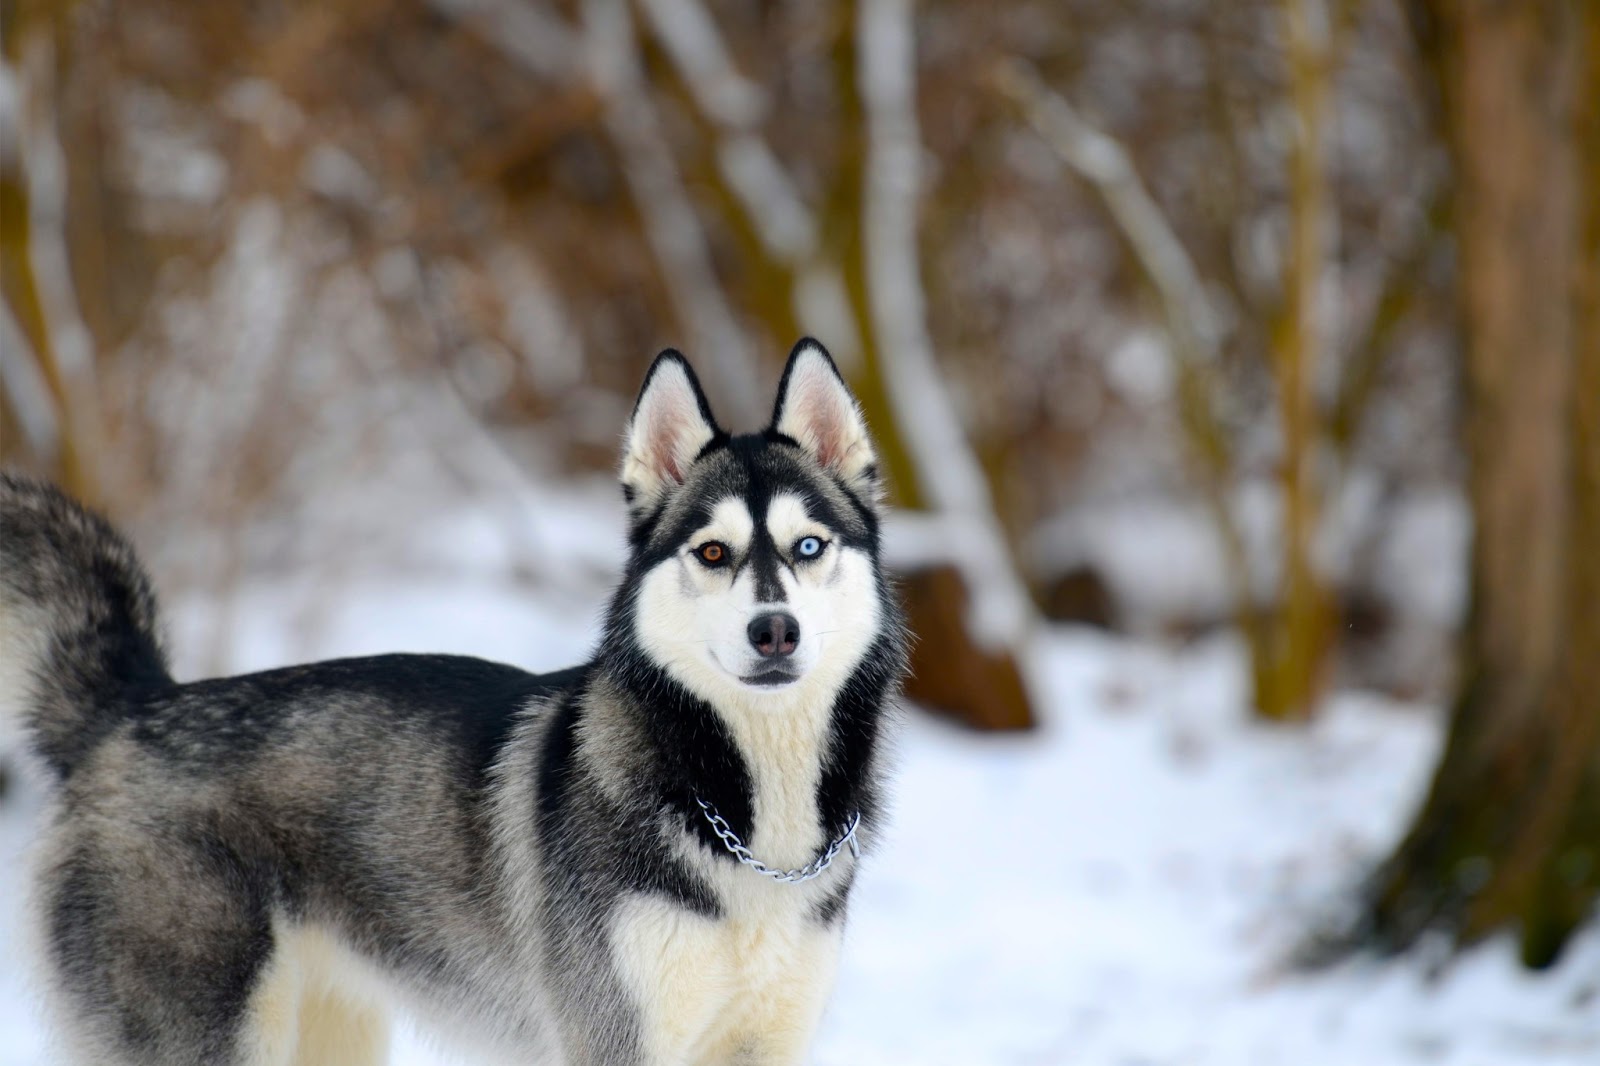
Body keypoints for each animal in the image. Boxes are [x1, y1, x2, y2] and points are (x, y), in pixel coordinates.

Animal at [0, 342, 908, 1062]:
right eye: (713, 552)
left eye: (809, 546)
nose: (774, 630)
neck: (745, 826)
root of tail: (129, 708)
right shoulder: (614, 1041)